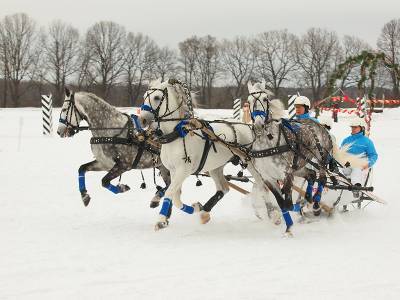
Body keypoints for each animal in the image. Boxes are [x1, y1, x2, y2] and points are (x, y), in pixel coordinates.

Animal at [141, 78, 282, 230]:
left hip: (251, 163)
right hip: (216, 167)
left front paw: (161, 220)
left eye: (156, 97)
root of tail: (248, 126)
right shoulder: (173, 171)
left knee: (263, 186)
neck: (177, 134)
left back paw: (274, 214)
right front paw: (196, 207)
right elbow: (176, 197)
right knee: (224, 188)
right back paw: (204, 212)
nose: (142, 119)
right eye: (144, 96)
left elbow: (170, 192)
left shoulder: (183, 171)